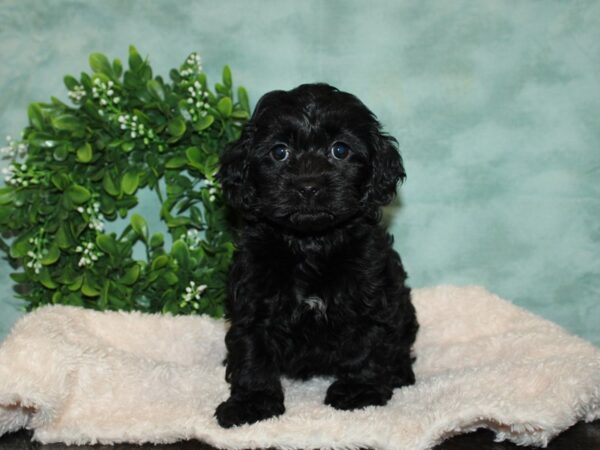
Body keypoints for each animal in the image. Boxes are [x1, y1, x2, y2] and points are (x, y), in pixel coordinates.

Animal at [214, 82, 418, 428]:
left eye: (340, 150)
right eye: (279, 151)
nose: (308, 186)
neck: (311, 243)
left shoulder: (370, 293)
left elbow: (369, 342)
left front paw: (359, 392)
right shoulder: (253, 297)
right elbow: (253, 351)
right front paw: (251, 403)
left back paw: (399, 373)